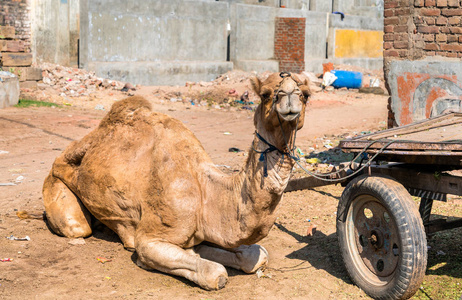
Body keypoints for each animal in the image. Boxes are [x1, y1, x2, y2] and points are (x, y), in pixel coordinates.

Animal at [43, 71, 310, 290]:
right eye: (265, 94)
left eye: (306, 94)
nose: (289, 97)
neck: (207, 191)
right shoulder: (151, 239)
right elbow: (214, 272)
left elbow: (256, 255)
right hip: (57, 187)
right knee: (77, 226)